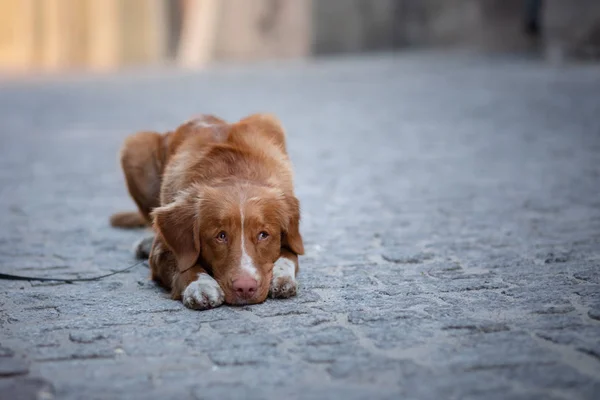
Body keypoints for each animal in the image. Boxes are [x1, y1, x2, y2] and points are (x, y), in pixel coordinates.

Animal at [109, 112, 304, 310]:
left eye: (263, 235)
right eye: (221, 236)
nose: (245, 288)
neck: (234, 173)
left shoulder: (293, 238)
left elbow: (289, 254)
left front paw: (281, 277)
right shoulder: (161, 250)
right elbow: (184, 265)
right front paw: (200, 285)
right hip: (136, 147)